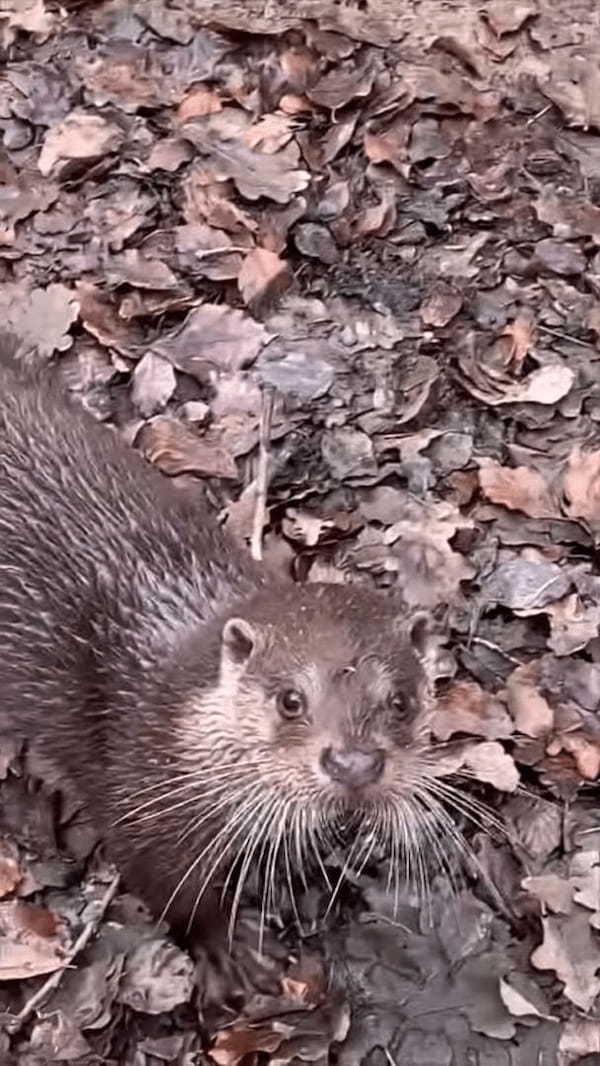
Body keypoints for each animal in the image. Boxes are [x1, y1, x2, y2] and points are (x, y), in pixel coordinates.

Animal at [0, 338, 445, 997]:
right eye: (290, 700)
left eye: (400, 701)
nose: (354, 764)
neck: (176, 726)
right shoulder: (138, 805)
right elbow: (170, 891)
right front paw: (226, 948)